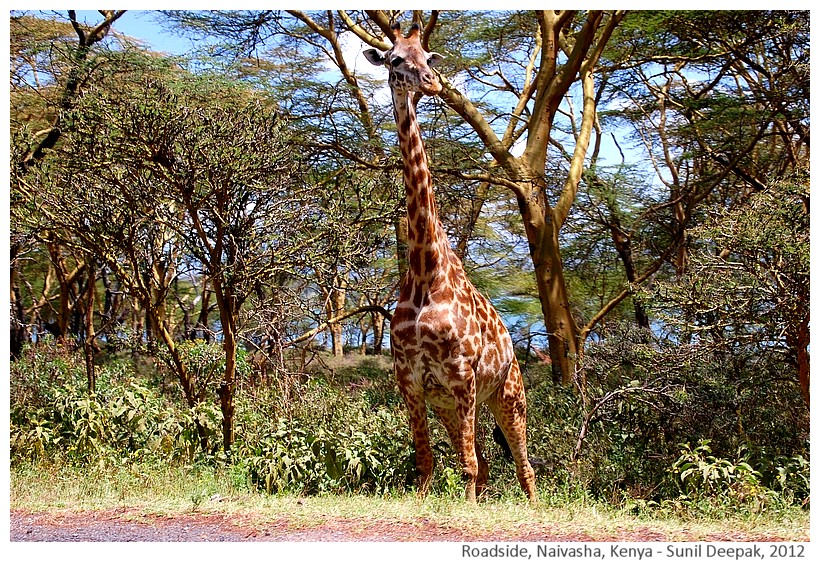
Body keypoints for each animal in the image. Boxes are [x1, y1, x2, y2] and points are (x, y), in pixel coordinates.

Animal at [366, 23, 540, 504]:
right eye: (394, 59)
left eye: (428, 56)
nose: (431, 82)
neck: (427, 270)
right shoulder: (410, 379)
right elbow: (427, 461)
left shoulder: (462, 374)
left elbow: (467, 466)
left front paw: (468, 510)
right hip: (450, 403)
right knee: (484, 463)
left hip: (507, 396)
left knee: (522, 467)